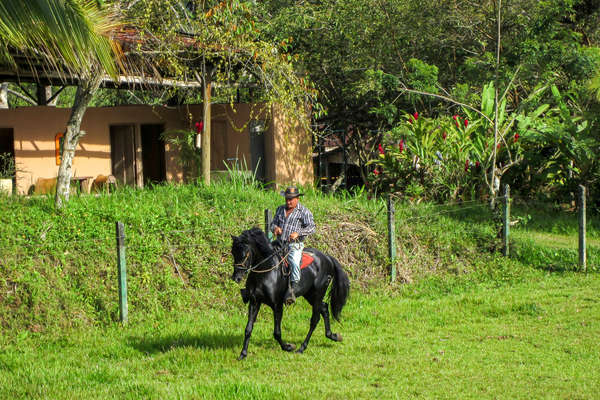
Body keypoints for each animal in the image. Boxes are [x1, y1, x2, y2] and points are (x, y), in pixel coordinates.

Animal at [231, 227, 352, 360]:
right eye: (233, 253)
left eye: (244, 254)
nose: (236, 278)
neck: (266, 271)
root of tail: (327, 258)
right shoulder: (254, 302)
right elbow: (248, 329)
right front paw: (243, 354)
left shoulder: (277, 305)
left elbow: (277, 332)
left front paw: (288, 347)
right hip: (310, 295)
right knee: (324, 308)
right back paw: (333, 336)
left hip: (318, 294)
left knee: (314, 320)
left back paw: (302, 348)